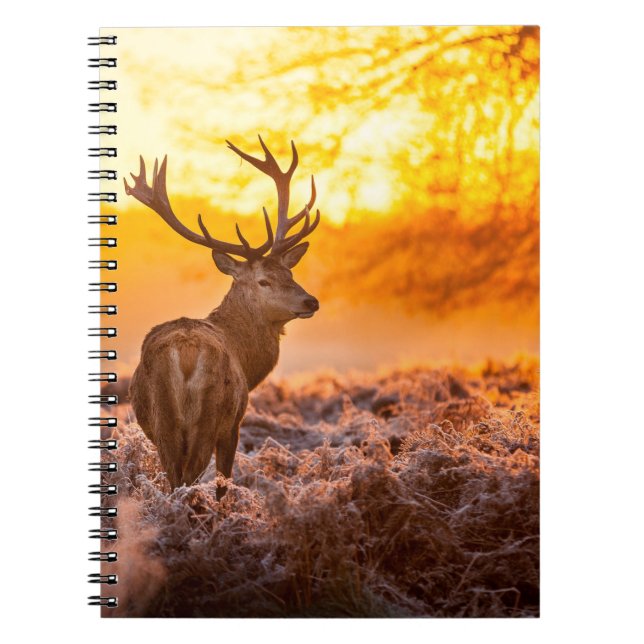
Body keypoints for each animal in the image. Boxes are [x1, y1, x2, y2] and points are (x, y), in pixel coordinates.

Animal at [123, 136, 320, 498]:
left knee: (174, 479)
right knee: (189, 479)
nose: (311, 301)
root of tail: (185, 352)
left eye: (290, 272)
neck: (246, 359)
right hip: (211, 415)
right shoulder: (234, 424)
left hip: (162, 422)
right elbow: (224, 483)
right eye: (264, 280)